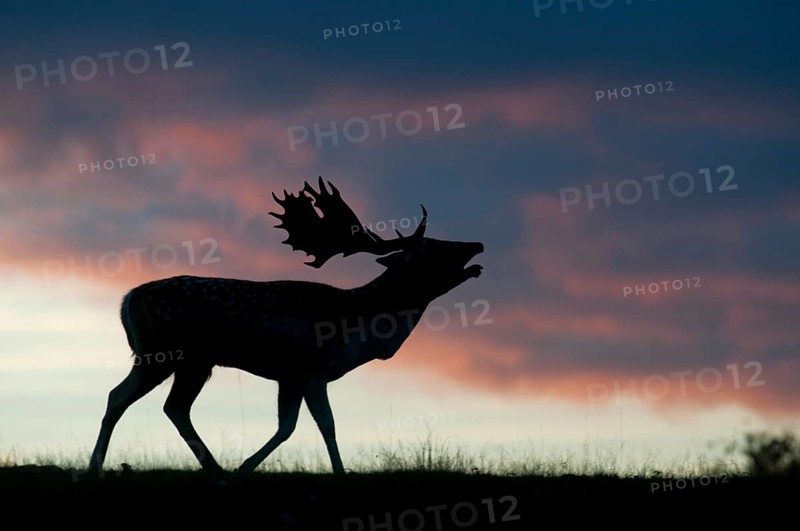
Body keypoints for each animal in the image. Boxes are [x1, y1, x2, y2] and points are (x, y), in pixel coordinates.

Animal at [85, 177, 484, 477]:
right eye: (433, 250)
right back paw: (95, 468)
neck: (360, 325)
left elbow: (287, 426)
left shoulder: (288, 377)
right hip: (161, 353)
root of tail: (127, 301)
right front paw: (340, 474)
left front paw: (244, 467)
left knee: (173, 408)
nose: (477, 245)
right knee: (120, 396)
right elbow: (326, 425)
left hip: (192, 363)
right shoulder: (311, 369)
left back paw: (215, 469)